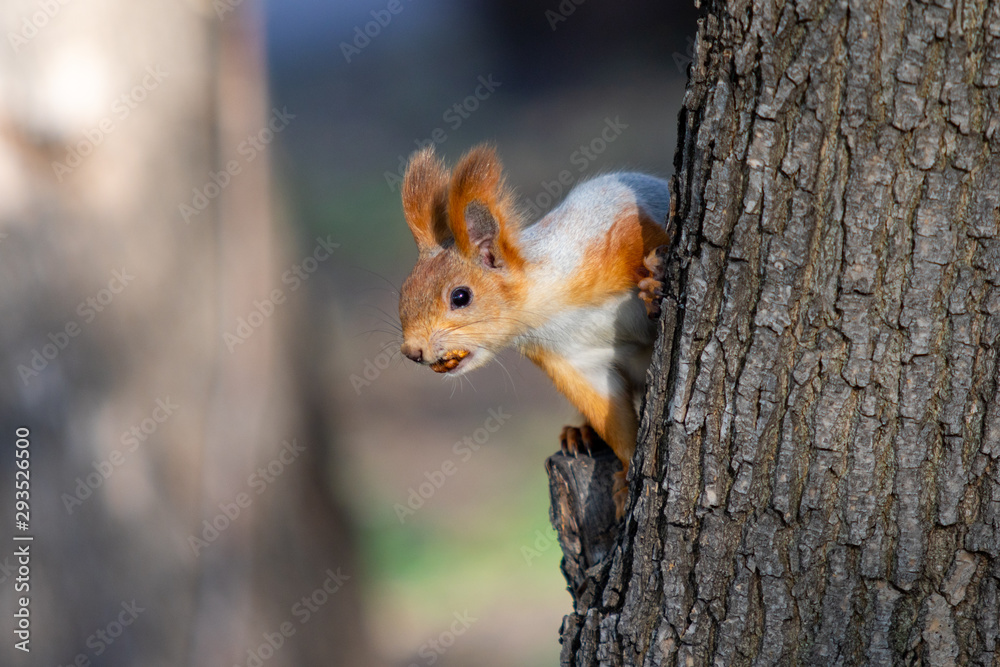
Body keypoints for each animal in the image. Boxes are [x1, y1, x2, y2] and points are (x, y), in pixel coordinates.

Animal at [398, 144, 672, 516]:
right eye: (403, 293)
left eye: (460, 296)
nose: (413, 351)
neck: (548, 307)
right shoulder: (572, 359)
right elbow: (610, 413)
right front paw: (629, 474)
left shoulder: (620, 233)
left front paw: (655, 284)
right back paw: (579, 432)